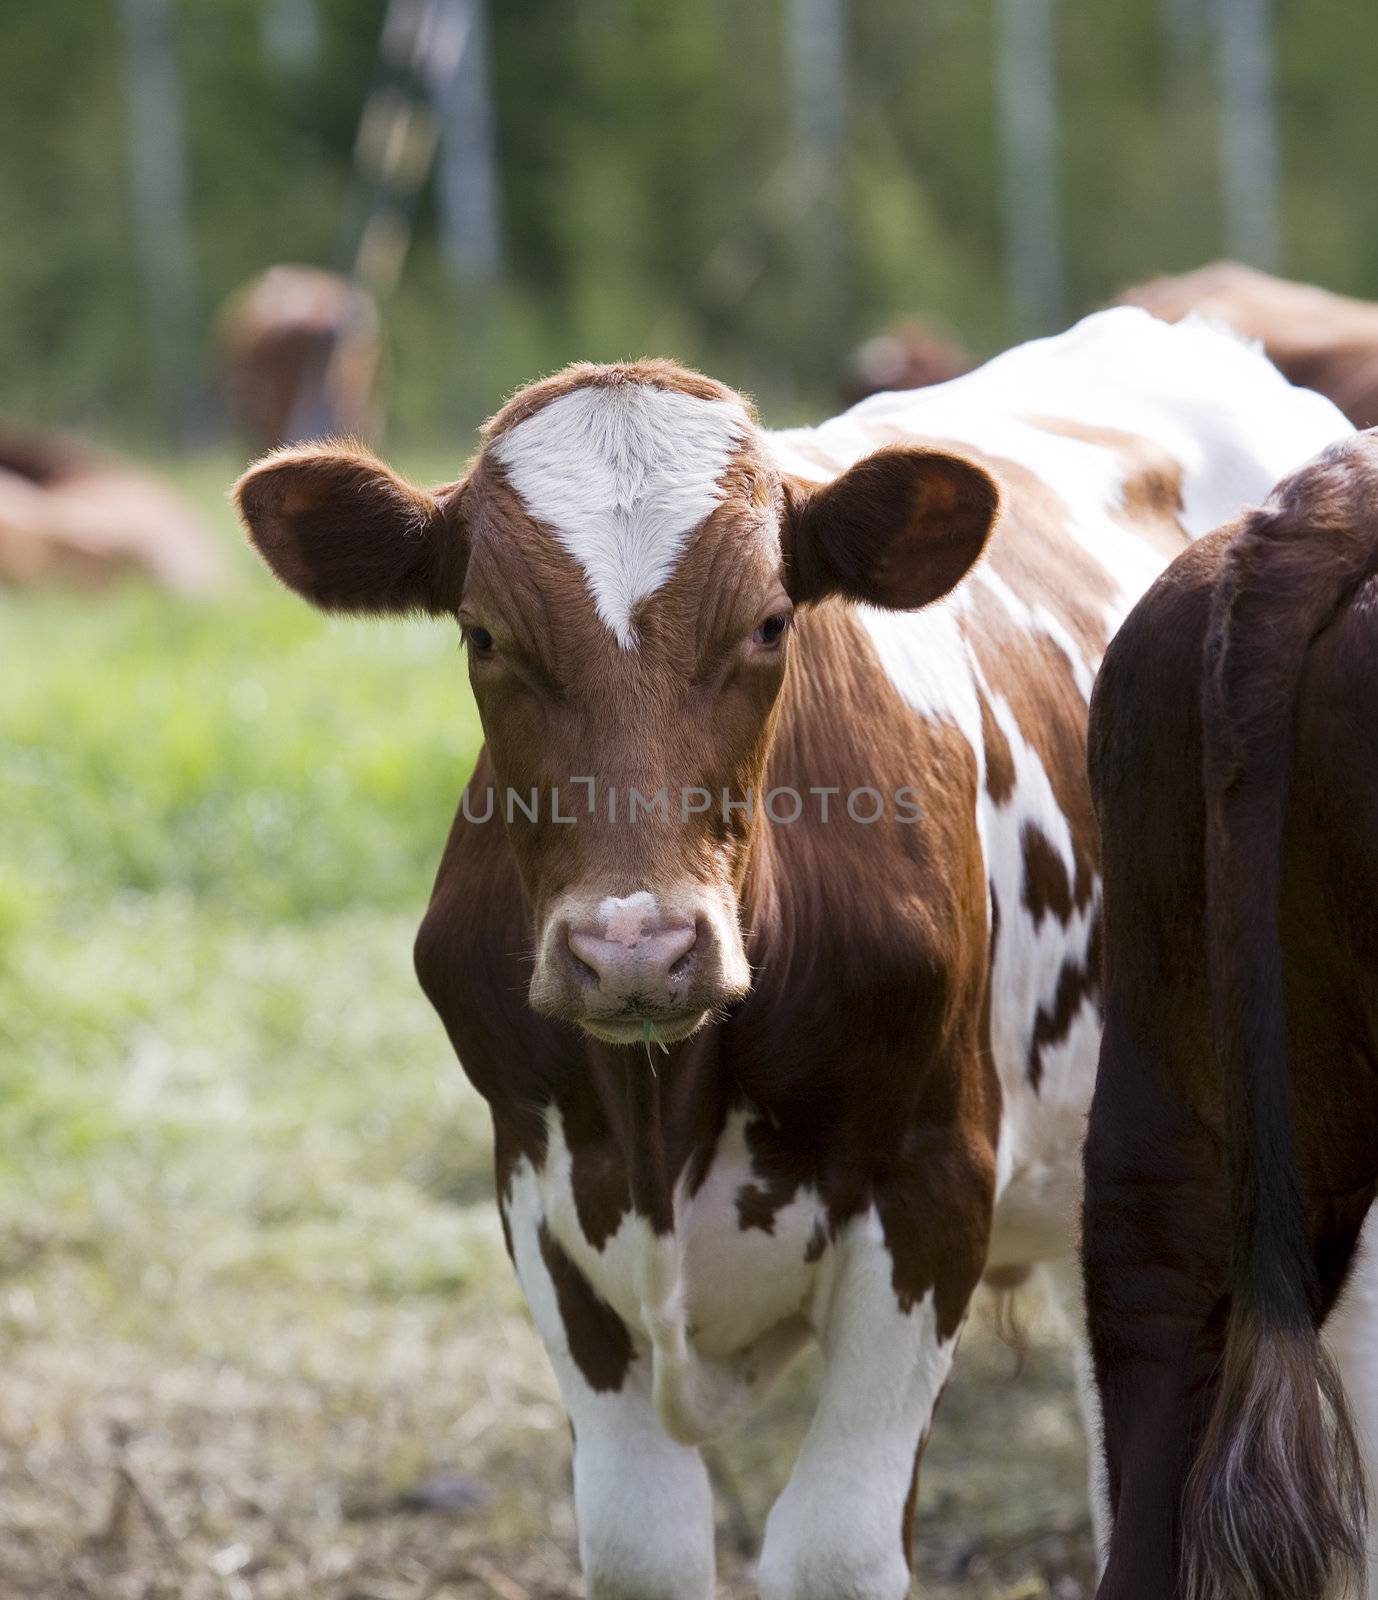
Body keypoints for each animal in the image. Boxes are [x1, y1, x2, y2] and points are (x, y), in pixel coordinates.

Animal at [233, 305, 1344, 1593]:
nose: (636, 950)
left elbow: (831, 1546)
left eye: (769, 625)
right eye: (483, 633)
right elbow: (641, 1542)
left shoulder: (928, 1190)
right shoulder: (541, 1196)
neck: (666, 1110)